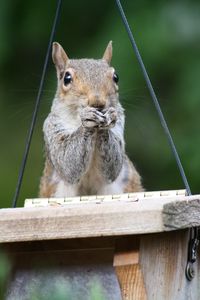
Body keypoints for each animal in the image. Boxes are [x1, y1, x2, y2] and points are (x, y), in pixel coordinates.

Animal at [39, 41, 143, 197]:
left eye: (116, 77)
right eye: (67, 78)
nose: (97, 102)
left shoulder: (120, 125)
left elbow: (114, 165)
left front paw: (108, 118)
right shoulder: (52, 127)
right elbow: (66, 161)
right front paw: (87, 121)